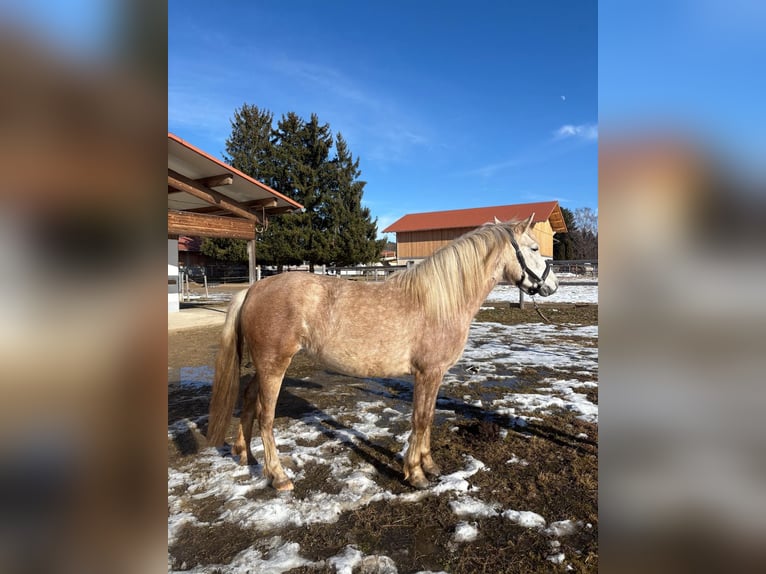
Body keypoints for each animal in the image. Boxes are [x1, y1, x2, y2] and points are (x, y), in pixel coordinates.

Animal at [206, 215, 558, 491]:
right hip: (274, 365)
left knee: (248, 399)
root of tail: (253, 288)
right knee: (266, 417)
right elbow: (420, 419)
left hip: (265, 366)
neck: (439, 301)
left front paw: (430, 466)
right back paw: (278, 477)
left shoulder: (435, 374)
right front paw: (416, 474)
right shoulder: (427, 372)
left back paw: (244, 455)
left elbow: (429, 417)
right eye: (534, 249)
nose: (552, 286)